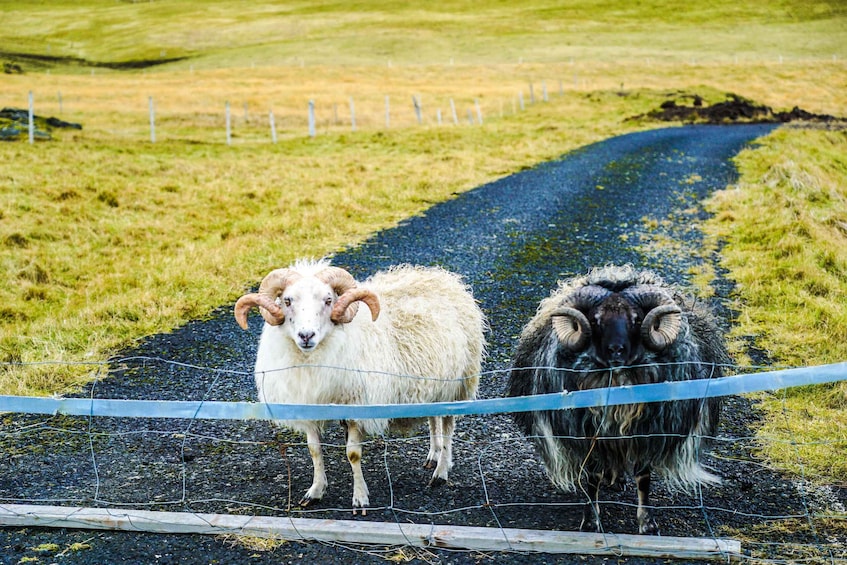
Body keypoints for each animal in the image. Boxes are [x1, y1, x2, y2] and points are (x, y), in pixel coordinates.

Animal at [234, 258, 484, 512]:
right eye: (287, 301)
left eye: (328, 300)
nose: (306, 335)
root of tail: (442, 276)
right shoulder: (309, 405)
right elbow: (315, 451)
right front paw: (315, 491)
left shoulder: (357, 407)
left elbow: (353, 454)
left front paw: (360, 498)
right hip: (434, 384)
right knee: (434, 418)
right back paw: (433, 454)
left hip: (459, 382)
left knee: (448, 427)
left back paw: (441, 471)